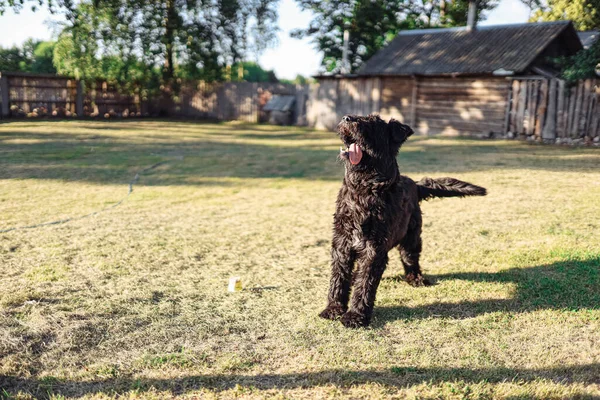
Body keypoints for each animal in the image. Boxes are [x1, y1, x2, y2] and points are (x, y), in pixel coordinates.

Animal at [318, 114, 488, 326]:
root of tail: (415, 183)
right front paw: (333, 309)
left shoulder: (373, 249)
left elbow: (364, 283)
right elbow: (338, 279)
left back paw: (416, 278)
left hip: (412, 237)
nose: (346, 117)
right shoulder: (342, 244)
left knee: (410, 258)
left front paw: (355, 316)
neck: (364, 189)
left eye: (372, 123)